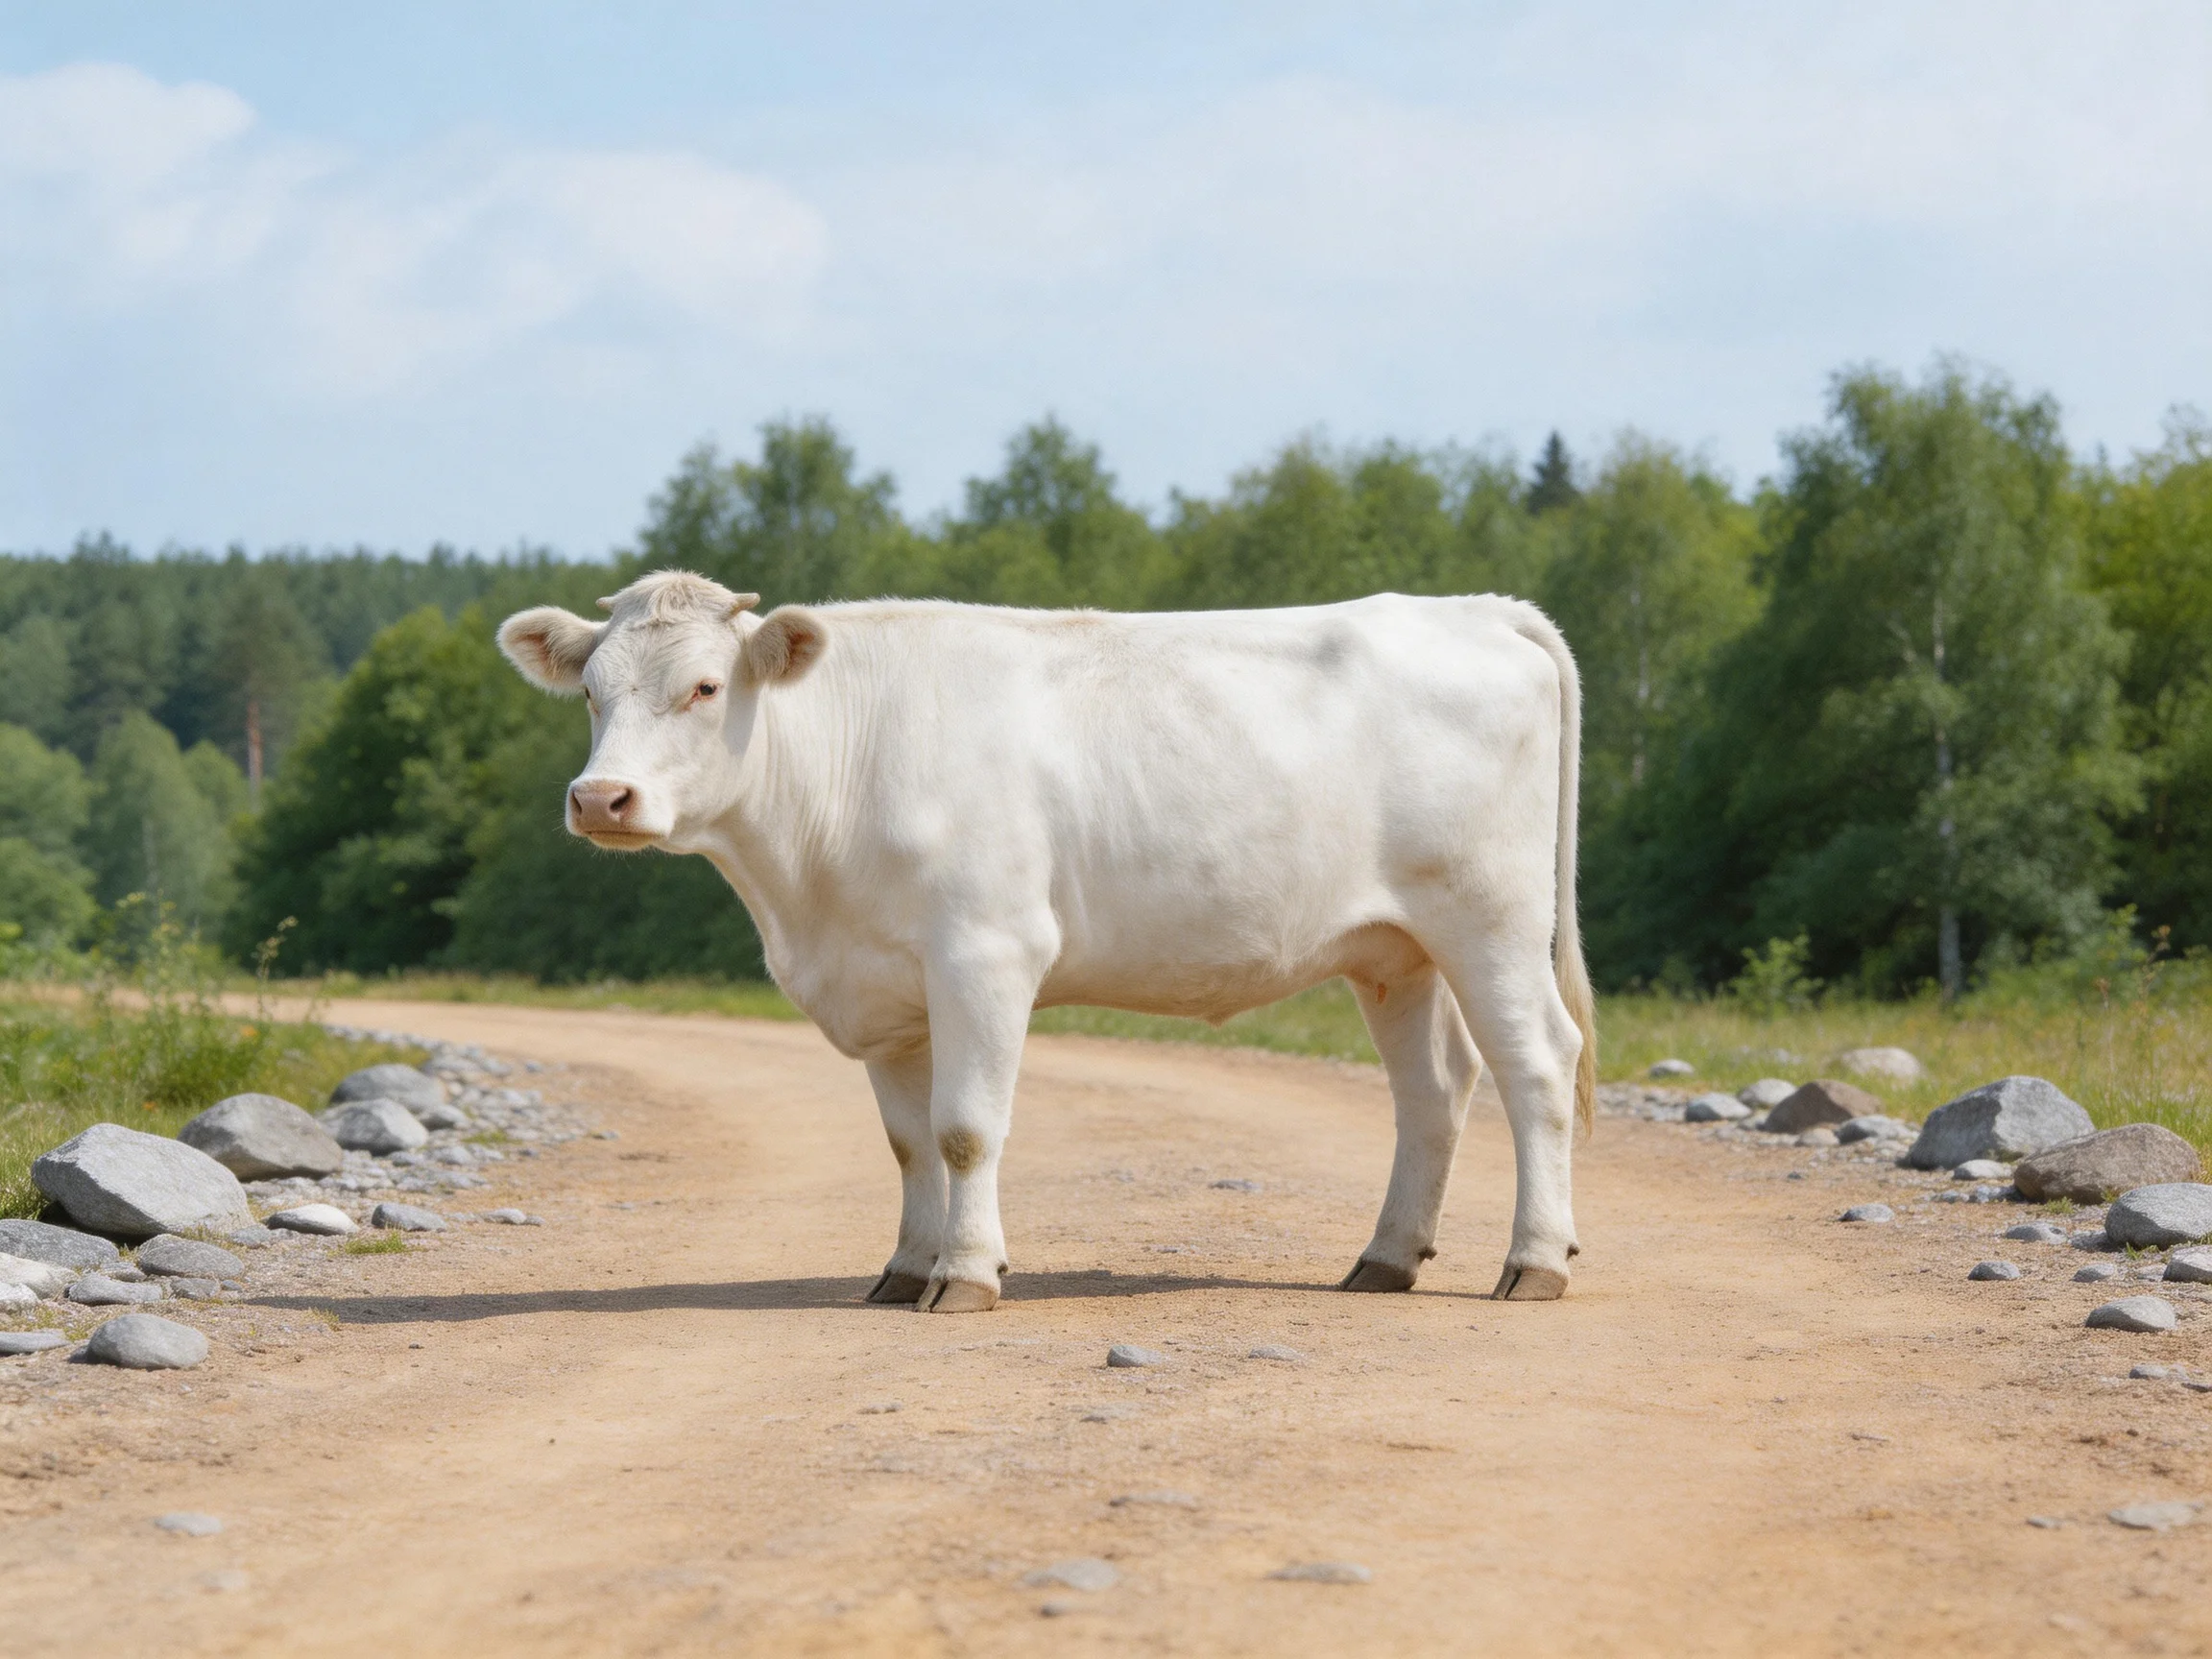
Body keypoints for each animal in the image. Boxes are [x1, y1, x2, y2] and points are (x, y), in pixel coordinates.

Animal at [498, 571, 1595, 1312]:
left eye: (705, 689)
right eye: (592, 692)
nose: (600, 798)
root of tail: (1477, 606)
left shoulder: (985, 953)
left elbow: (965, 1128)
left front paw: (966, 1275)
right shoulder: (887, 987)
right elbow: (908, 1141)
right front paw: (905, 1268)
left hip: (1490, 917)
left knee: (1538, 1065)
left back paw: (1534, 1261)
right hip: (1395, 949)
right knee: (1433, 1091)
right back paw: (1384, 1259)